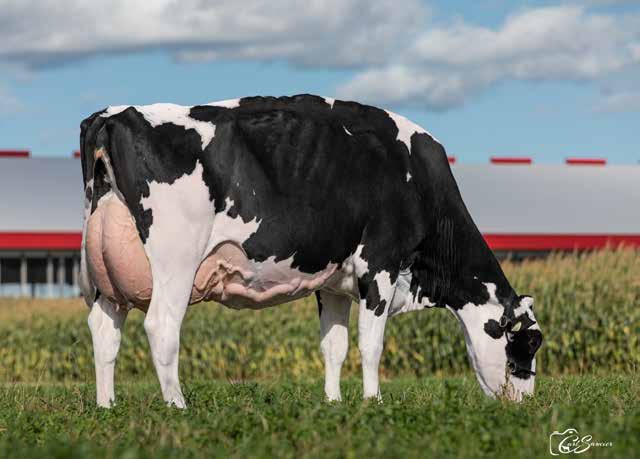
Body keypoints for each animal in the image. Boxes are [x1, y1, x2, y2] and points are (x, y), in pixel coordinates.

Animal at [78, 94, 543, 408]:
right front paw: (372, 402)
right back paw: (178, 407)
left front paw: (333, 403)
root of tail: (113, 114)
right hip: (175, 259)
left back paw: (107, 407)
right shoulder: (380, 263)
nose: (526, 406)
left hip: (104, 275)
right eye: (525, 348)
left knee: (104, 332)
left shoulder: (335, 281)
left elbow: (333, 345)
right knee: (161, 327)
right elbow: (370, 344)